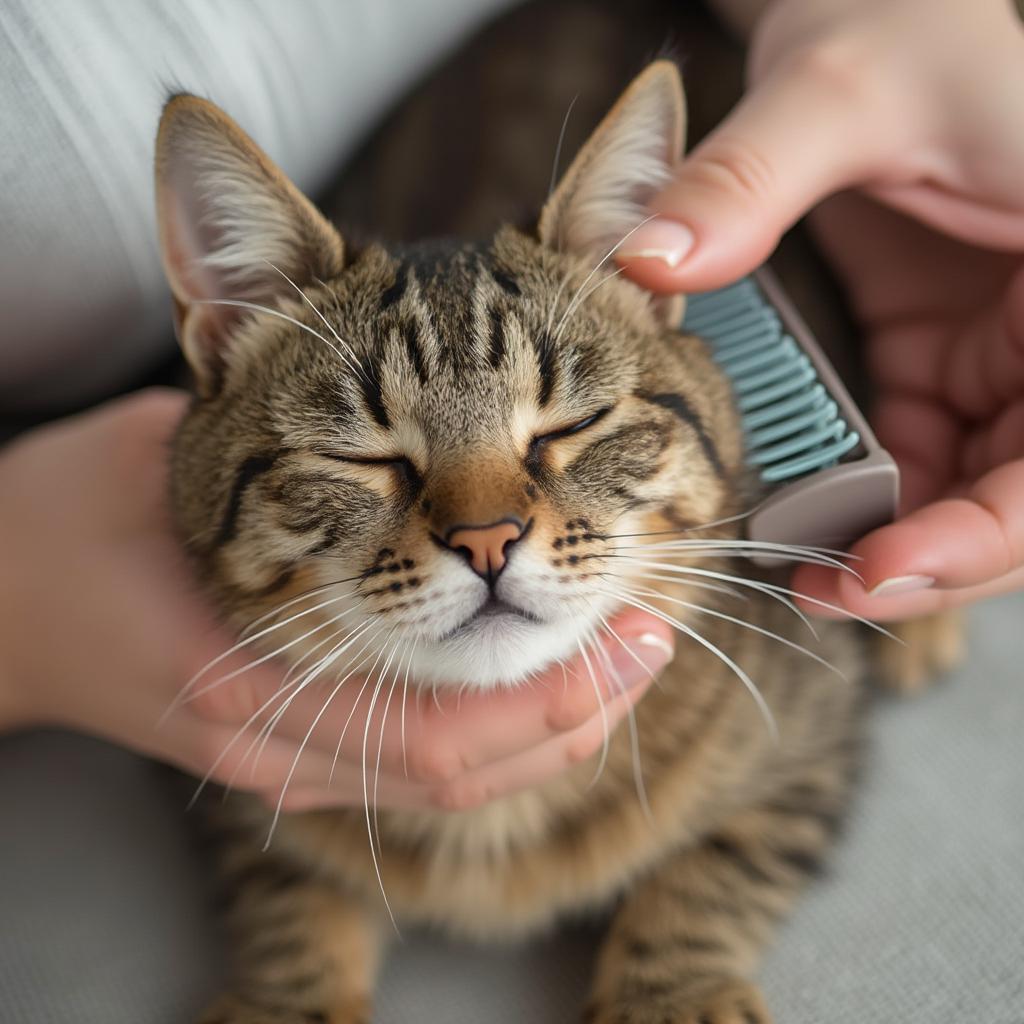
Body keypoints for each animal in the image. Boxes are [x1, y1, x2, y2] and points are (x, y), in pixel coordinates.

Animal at [155, 64, 868, 1024]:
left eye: (571, 425)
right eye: (364, 456)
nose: (488, 540)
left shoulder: (808, 742)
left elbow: (708, 878)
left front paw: (669, 998)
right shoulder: (242, 800)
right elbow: (286, 904)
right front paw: (285, 1002)